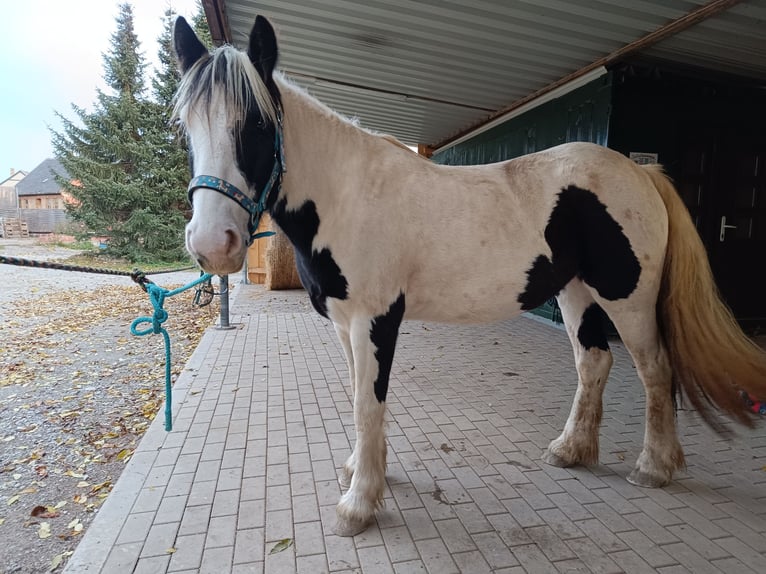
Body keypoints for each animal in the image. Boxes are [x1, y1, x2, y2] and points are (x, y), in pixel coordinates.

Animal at [172, 15, 766, 536]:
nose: (212, 246)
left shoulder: (375, 321)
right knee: (594, 362)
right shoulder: (344, 324)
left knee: (655, 371)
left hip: (630, 299)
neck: (348, 195)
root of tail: (642, 173)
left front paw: (358, 505)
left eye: (256, 125)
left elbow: (369, 403)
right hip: (575, 293)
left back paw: (654, 466)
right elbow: (358, 397)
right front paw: (361, 473)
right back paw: (571, 451)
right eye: (186, 128)